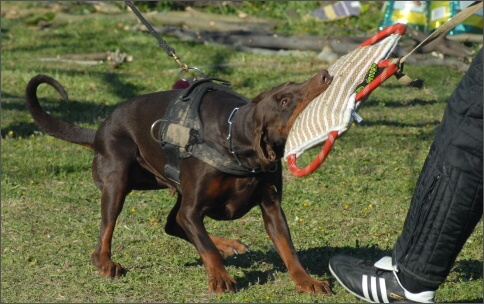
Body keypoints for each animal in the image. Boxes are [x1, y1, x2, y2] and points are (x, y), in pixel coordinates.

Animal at [25, 71, 332, 294]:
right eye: (284, 100)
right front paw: (220, 278)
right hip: (117, 178)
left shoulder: (271, 205)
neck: (234, 139)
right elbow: (205, 246)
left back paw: (227, 243)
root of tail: (99, 130)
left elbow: (287, 248)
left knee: (173, 223)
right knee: (108, 231)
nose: (324, 74)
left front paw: (307, 281)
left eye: (293, 84)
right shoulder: (193, 208)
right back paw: (106, 263)